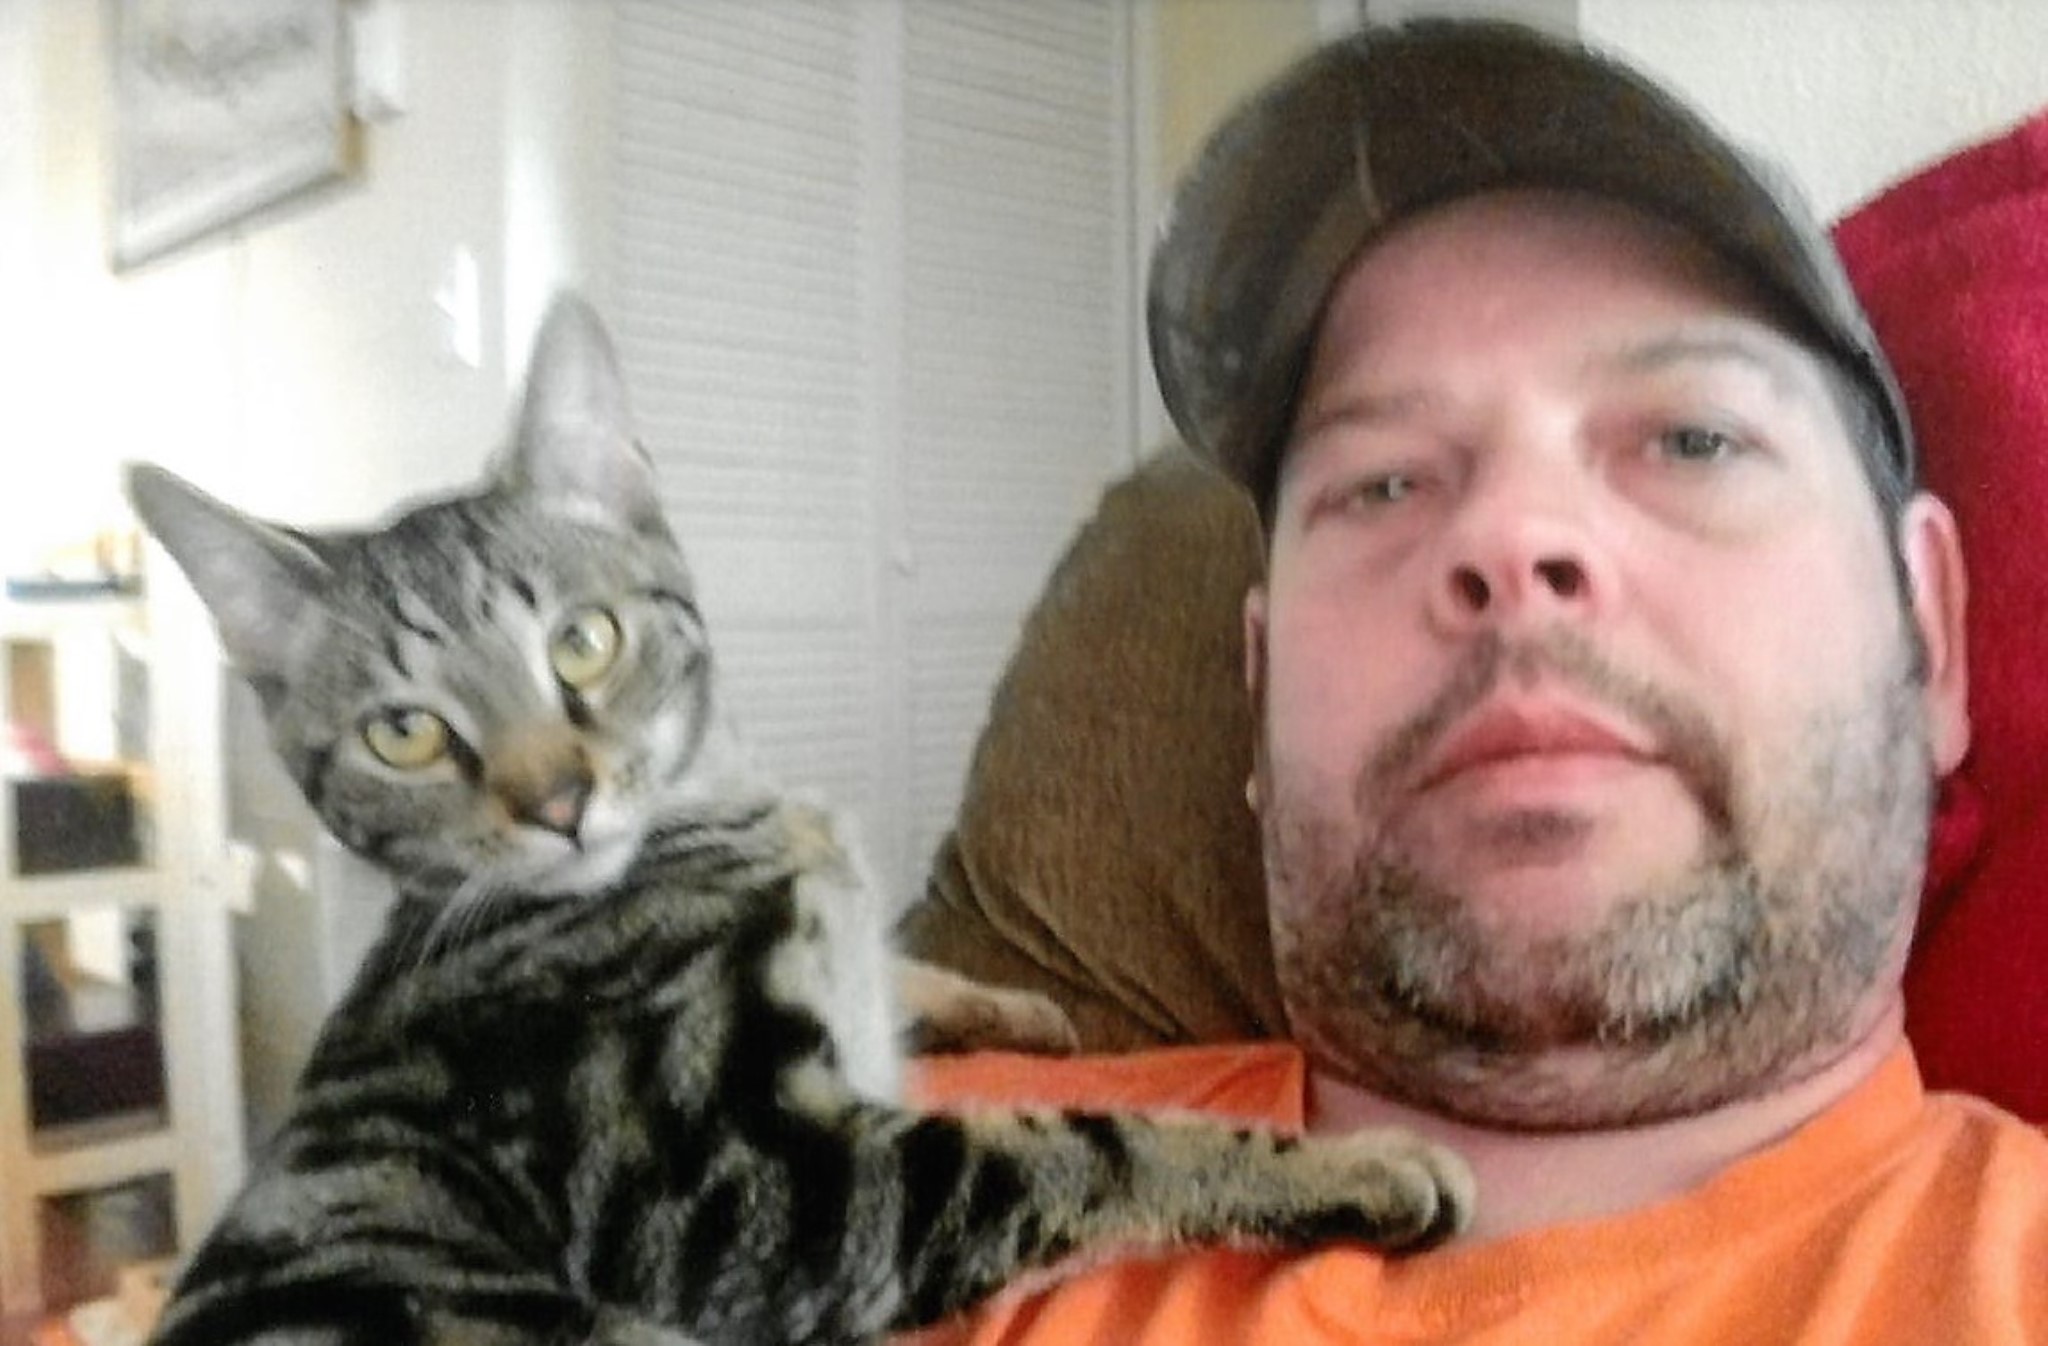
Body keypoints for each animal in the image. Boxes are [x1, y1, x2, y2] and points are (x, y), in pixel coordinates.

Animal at [125, 293, 1473, 1345]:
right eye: (402, 732)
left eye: (582, 641)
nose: (559, 802)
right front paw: (1359, 1167)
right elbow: (1092, 1145)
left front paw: (1012, 1006)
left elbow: (905, 972)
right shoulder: (752, 1186)